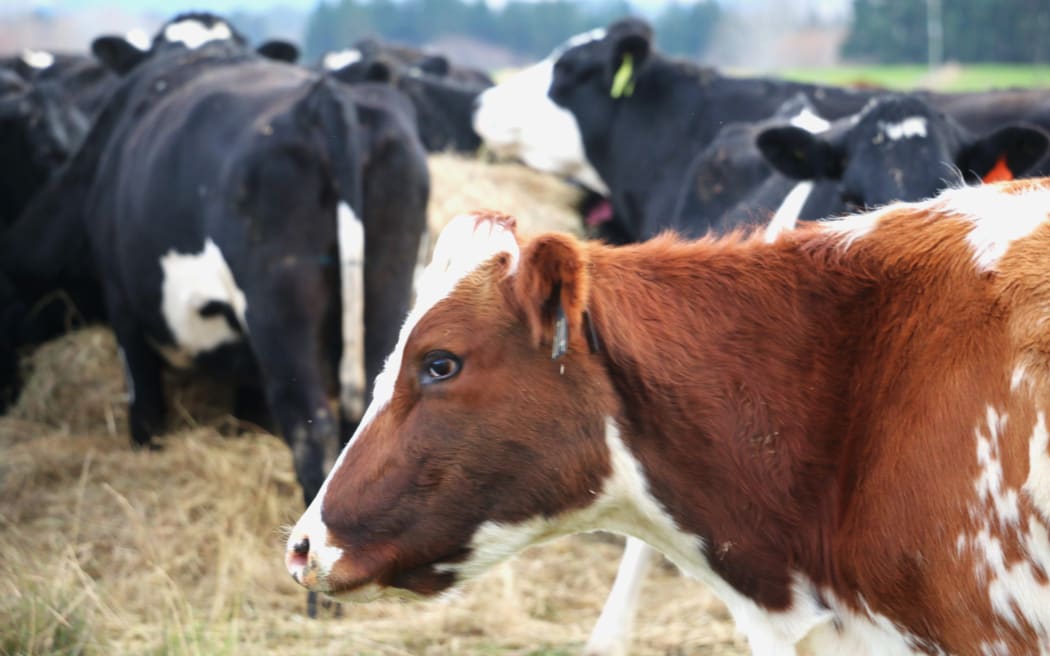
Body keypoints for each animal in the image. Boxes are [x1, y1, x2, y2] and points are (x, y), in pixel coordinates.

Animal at [1, 14, 426, 501]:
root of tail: (327, 98)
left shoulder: (123, 304)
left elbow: (144, 406)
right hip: (385, 290)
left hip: (279, 311)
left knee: (310, 427)